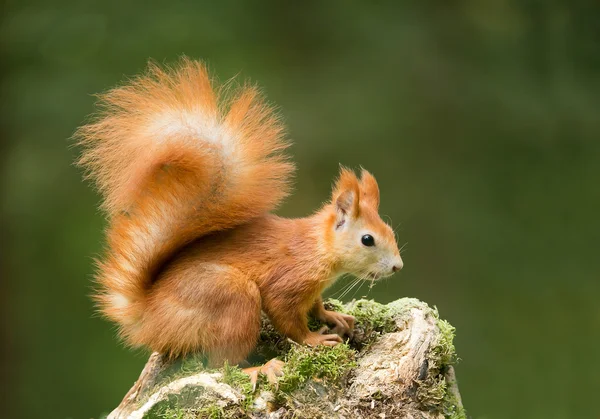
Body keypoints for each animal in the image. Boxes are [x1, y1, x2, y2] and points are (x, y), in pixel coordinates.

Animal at [76, 56, 404, 378]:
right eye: (367, 240)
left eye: (390, 231)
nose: (398, 267)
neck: (317, 247)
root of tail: (150, 320)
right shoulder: (288, 280)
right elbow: (288, 319)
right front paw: (314, 339)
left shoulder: (310, 289)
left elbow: (315, 306)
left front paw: (332, 315)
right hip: (233, 297)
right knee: (222, 364)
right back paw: (260, 368)